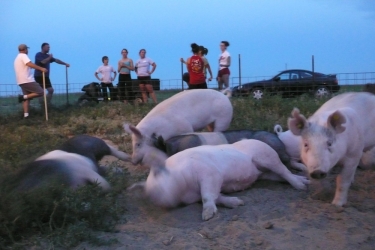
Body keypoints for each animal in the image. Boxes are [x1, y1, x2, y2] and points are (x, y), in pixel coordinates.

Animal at [128, 139, 310, 221]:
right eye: (149, 193)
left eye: (159, 185)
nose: (159, 203)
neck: (186, 190)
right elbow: (217, 196)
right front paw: (238, 202)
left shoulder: (210, 174)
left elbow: (208, 196)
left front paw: (207, 216)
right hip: (265, 174)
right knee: (281, 176)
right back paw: (305, 182)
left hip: (267, 157)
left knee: (284, 171)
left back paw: (301, 186)